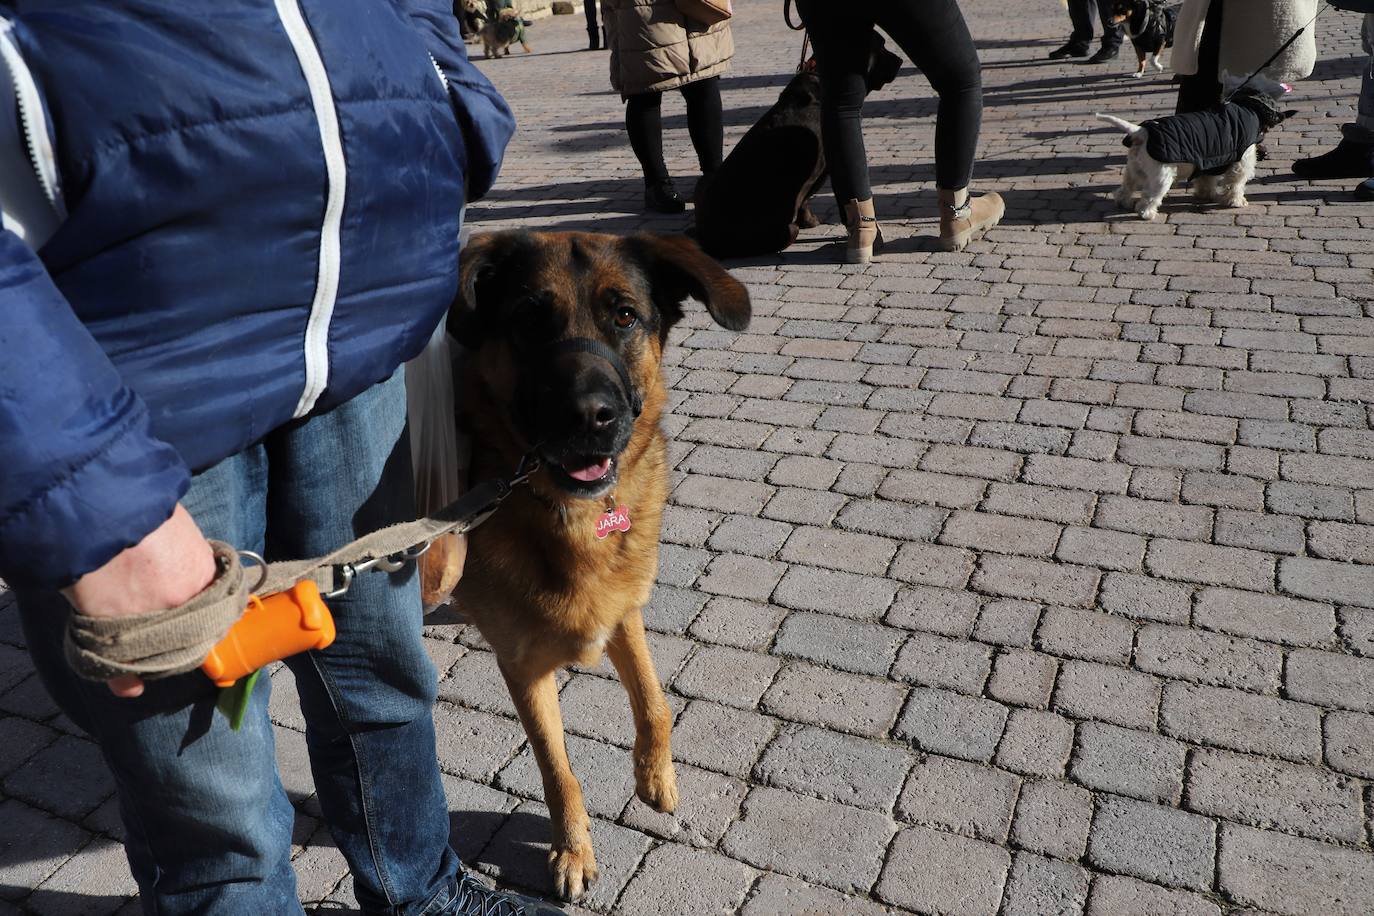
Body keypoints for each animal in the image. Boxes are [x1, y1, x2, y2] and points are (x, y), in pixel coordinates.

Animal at [420, 233, 752, 900]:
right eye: (528, 319)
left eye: (624, 315)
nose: (589, 415)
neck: (568, 515)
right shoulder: (523, 667)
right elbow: (557, 768)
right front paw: (572, 851)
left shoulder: (621, 609)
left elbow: (654, 701)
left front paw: (657, 778)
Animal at [1093, 73, 1286, 219]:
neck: (1245, 105)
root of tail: (1142, 132)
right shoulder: (1240, 163)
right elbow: (1235, 184)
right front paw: (1237, 202)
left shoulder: (1210, 162)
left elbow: (1206, 180)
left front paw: (1206, 195)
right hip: (1161, 177)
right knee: (1149, 197)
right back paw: (1147, 213)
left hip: (1135, 170)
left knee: (1125, 188)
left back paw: (1123, 203)